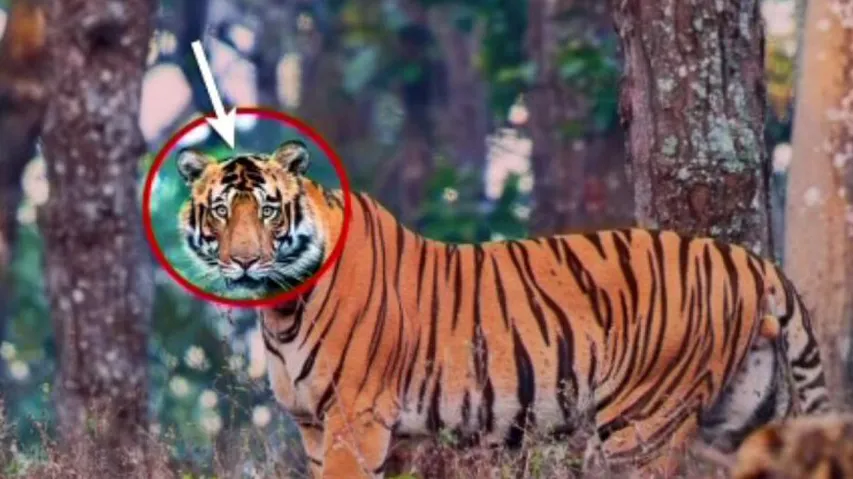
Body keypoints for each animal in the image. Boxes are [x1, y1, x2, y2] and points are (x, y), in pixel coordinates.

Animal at [175, 140, 831, 478]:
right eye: (219, 212)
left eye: (267, 210)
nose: (242, 262)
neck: (281, 308)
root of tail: (749, 262)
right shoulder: (316, 427)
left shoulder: (353, 422)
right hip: (745, 417)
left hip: (640, 427)